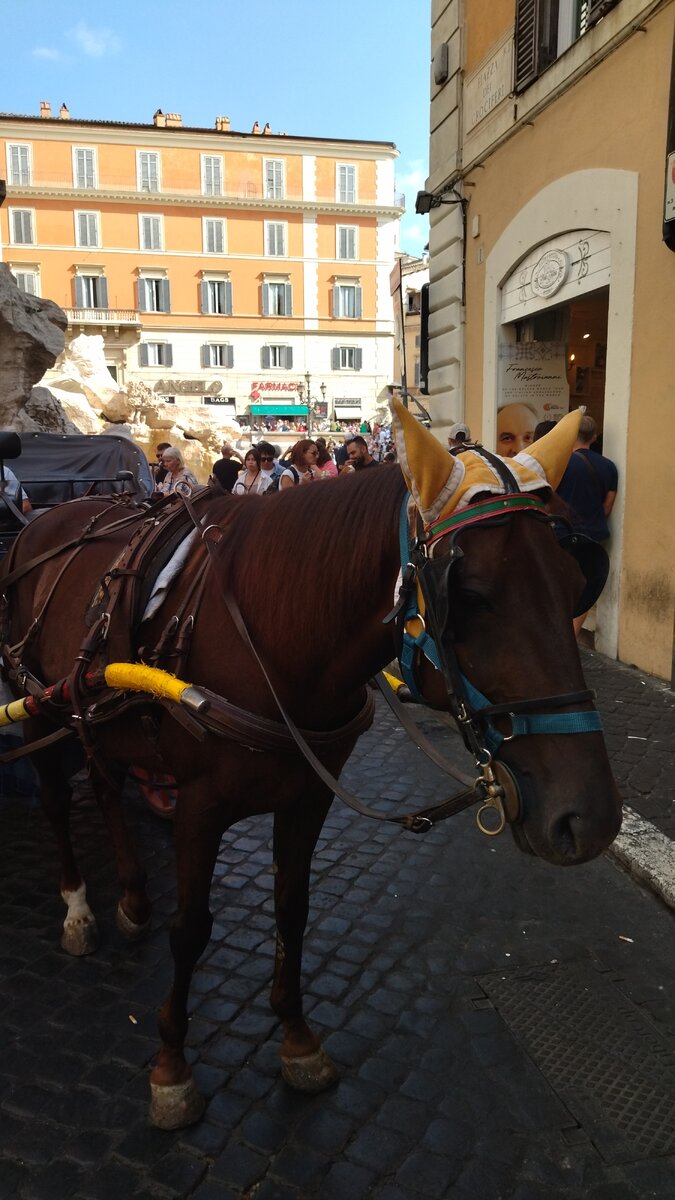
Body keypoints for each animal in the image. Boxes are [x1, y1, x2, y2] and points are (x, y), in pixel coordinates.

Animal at [0, 410, 619, 1123]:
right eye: (468, 595)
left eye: (577, 584)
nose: (590, 819)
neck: (271, 631)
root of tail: (45, 521)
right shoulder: (200, 807)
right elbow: (192, 929)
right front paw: (172, 1066)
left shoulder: (308, 796)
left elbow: (292, 909)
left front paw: (296, 1040)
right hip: (38, 705)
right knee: (55, 800)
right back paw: (78, 909)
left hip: (99, 714)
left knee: (104, 783)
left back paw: (131, 897)